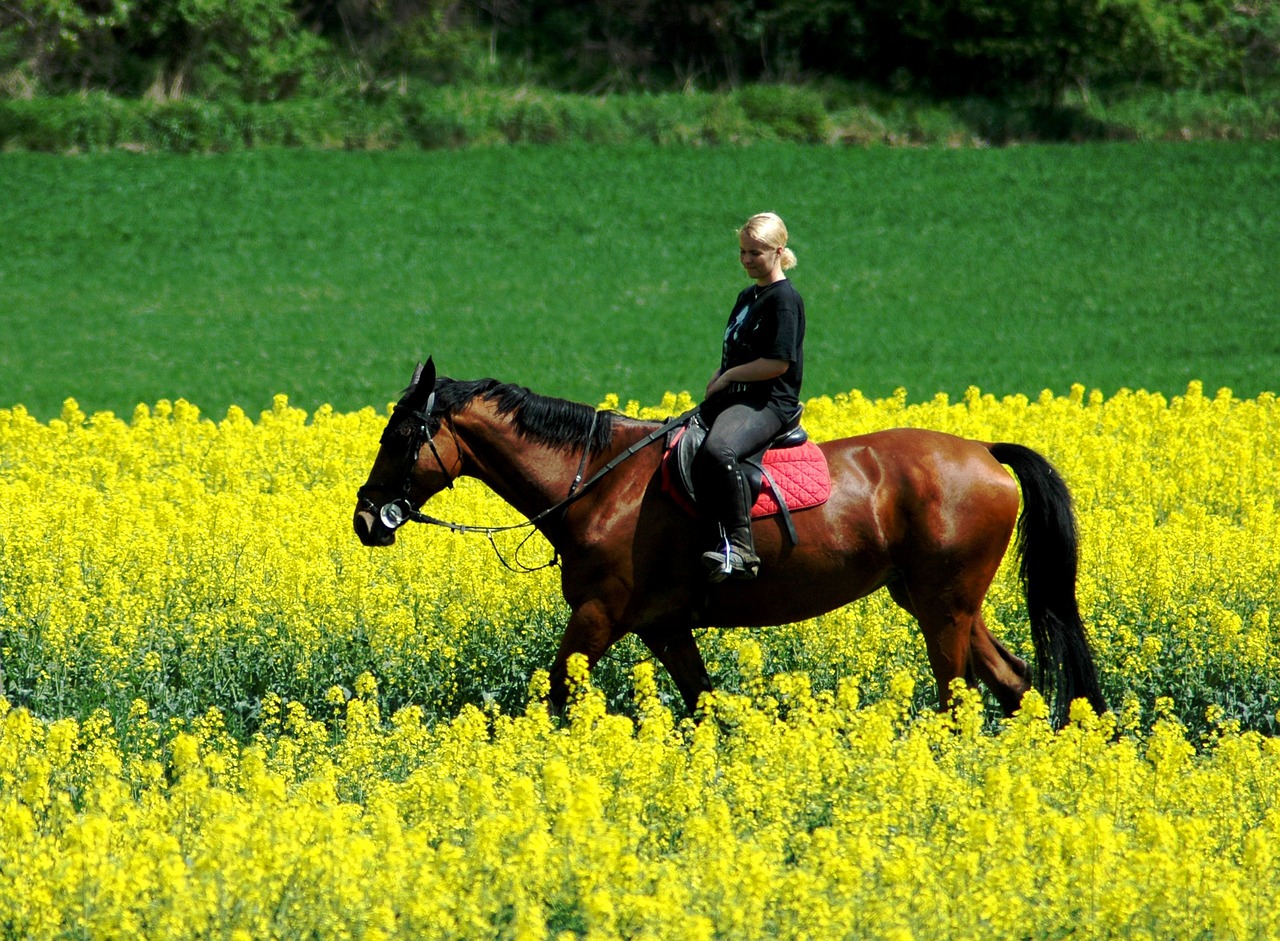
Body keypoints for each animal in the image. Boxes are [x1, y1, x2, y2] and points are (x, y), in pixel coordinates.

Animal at [355, 361, 1105, 727]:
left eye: (401, 435)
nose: (366, 519)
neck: (601, 483)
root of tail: (983, 450)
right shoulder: (662, 626)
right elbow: (706, 704)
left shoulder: (600, 614)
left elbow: (556, 690)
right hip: (940, 601)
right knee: (1013, 682)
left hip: (942, 607)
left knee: (957, 696)